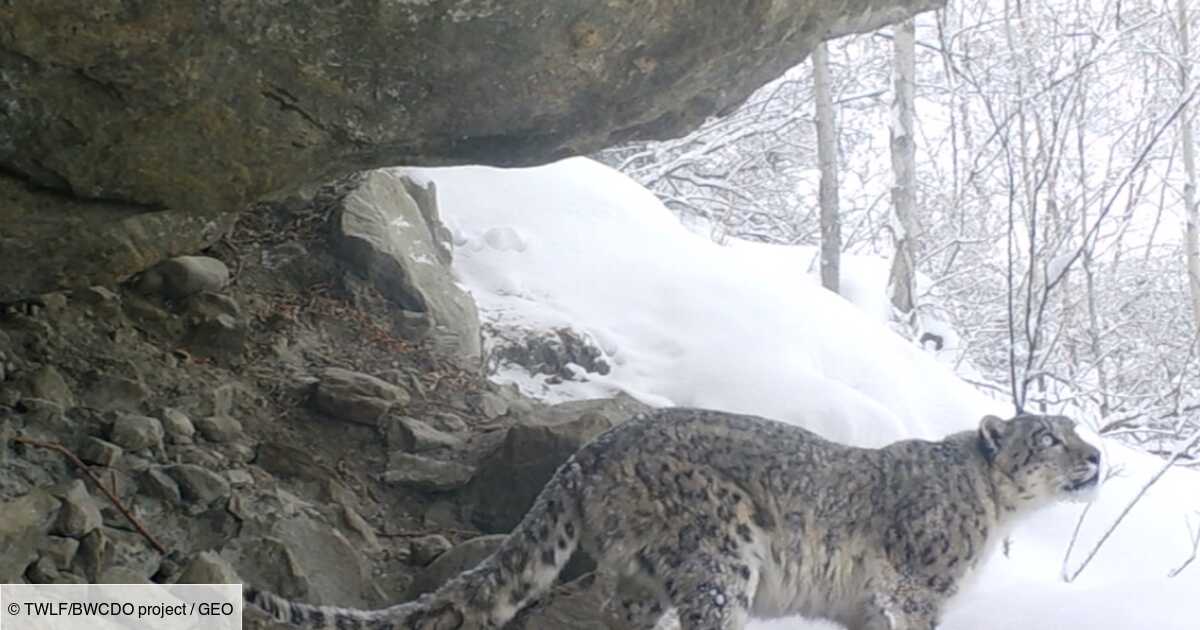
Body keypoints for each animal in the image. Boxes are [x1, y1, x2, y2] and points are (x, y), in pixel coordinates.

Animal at [248, 408, 1099, 628]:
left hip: (641, 580)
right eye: (1049, 437)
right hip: (723, 551)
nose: (1096, 458)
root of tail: (592, 450)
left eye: (1077, 427)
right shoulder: (915, 591)